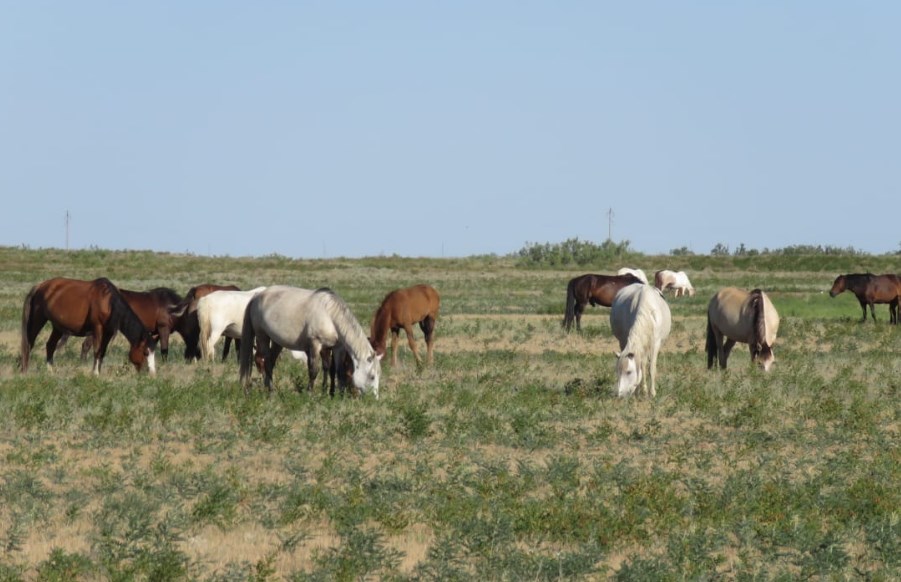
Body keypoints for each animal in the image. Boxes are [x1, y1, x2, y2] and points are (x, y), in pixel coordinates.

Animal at [19, 278, 156, 376]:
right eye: (145, 352)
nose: (151, 374)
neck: (108, 302)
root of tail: (39, 286)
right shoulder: (97, 329)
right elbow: (96, 351)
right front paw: (95, 373)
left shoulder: (108, 333)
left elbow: (102, 352)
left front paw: (99, 372)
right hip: (38, 320)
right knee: (29, 344)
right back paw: (25, 371)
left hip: (57, 327)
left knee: (50, 345)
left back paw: (50, 371)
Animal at [237, 286, 382, 396]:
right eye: (372, 376)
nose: (374, 398)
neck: (330, 316)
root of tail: (257, 296)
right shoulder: (315, 345)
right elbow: (313, 370)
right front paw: (310, 394)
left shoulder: (338, 348)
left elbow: (338, 371)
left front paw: (338, 395)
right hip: (262, 336)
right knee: (266, 361)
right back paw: (271, 392)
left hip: (277, 341)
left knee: (271, 362)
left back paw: (270, 389)